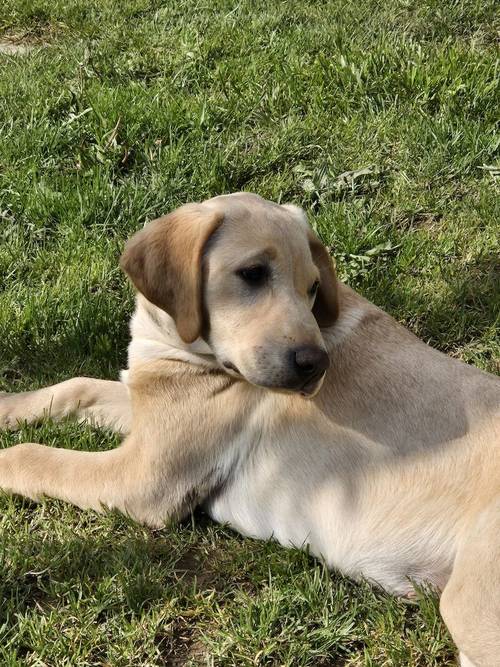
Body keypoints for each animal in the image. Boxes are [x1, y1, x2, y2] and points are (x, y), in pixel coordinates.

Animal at [0, 192, 500, 664]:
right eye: (253, 273)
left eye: (313, 288)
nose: (316, 364)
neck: (183, 347)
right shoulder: (147, 409)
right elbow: (74, 386)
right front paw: (9, 406)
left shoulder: (144, 477)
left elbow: (35, 455)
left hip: (470, 603)